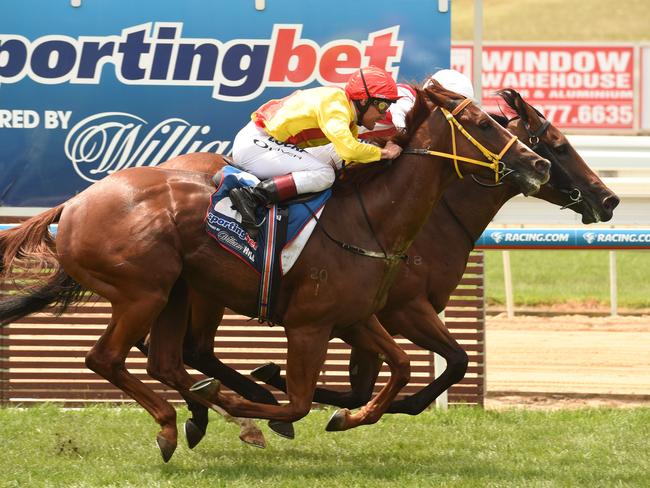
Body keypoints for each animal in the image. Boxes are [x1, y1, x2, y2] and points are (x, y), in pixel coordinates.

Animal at [0, 82, 548, 460]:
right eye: (483, 123)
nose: (538, 164)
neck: (370, 220)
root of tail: (74, 205)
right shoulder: (309, 325)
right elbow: (298, 404)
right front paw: (255, 402)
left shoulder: (356, 317)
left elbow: (401, 367)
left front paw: (348, 416)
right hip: (143, 293)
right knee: (107, 358)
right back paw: (178, 420)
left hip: (175, 291)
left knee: (165, 362)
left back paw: (198, 413)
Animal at [148, 87, 616, 446]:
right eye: (558, 145)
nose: (608, 198)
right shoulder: (403, 308)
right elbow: (454, 361)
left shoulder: (365, 315)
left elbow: (370, 385)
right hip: (205, 291)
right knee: (191, 349)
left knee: (186, 350)